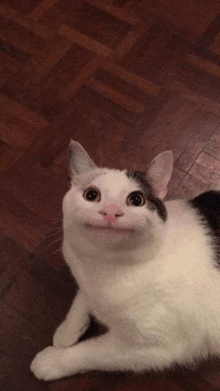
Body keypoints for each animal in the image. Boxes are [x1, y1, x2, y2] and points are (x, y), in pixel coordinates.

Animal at [30, 139, 220, 382]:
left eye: (136, 200)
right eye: (91, 195)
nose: (111, 212)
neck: (107, 267)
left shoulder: (156, 348)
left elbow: (90, 353)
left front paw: (52, 361)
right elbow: (82, 297)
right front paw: (67, 331)